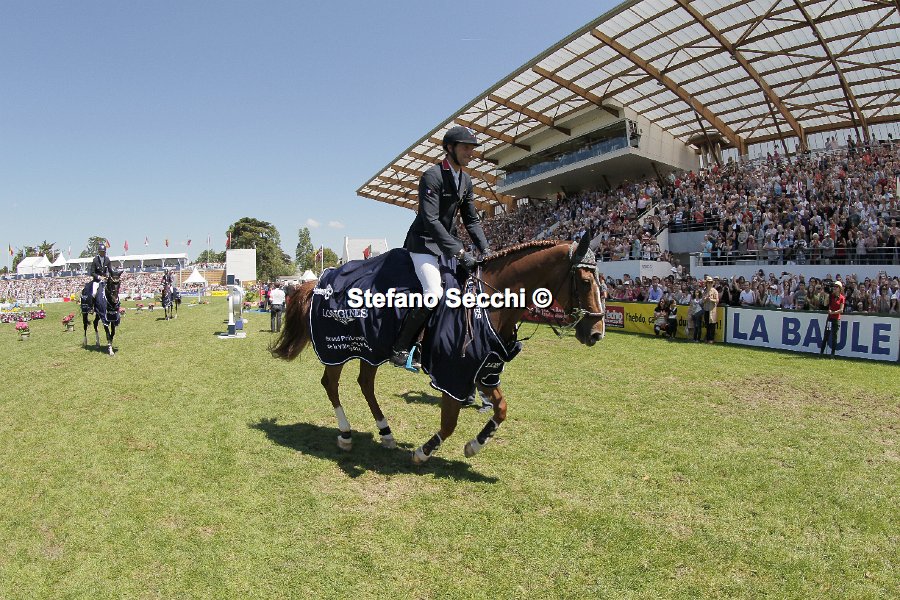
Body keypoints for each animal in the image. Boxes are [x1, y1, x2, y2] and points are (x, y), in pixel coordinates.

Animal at [271, 236, 604, 464]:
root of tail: (319, 282)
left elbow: (502, 408)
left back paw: (386, 432)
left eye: (602, 281)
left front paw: (475, 445)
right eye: (586, 281)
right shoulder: (452, 375)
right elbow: (450, 422)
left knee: (365, 384)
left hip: (371, 350)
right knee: (331, 384)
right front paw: (424, 451)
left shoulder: (483, 372)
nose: (597, 333)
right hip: (336, 350)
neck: (487, 305)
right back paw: (345, 434)